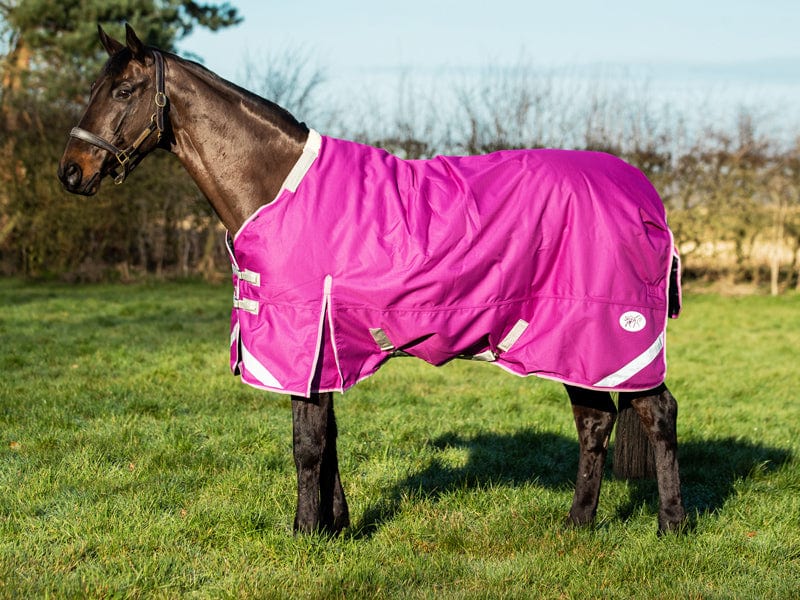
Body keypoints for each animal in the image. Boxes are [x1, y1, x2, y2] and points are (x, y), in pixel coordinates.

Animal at [58, 24, 685, 535]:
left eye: (122, 91)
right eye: (93, 88)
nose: (71, 172)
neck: (277, 187)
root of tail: (645, 195)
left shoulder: (300, 337)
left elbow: (307, 443)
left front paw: (305, 534)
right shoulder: (326, 347)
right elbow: (328, 436)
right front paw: (337, 526)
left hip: (611, 334)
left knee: (657, 413)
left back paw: (671, 526)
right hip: (571, 345)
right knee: (595, 421)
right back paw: (578, 524)